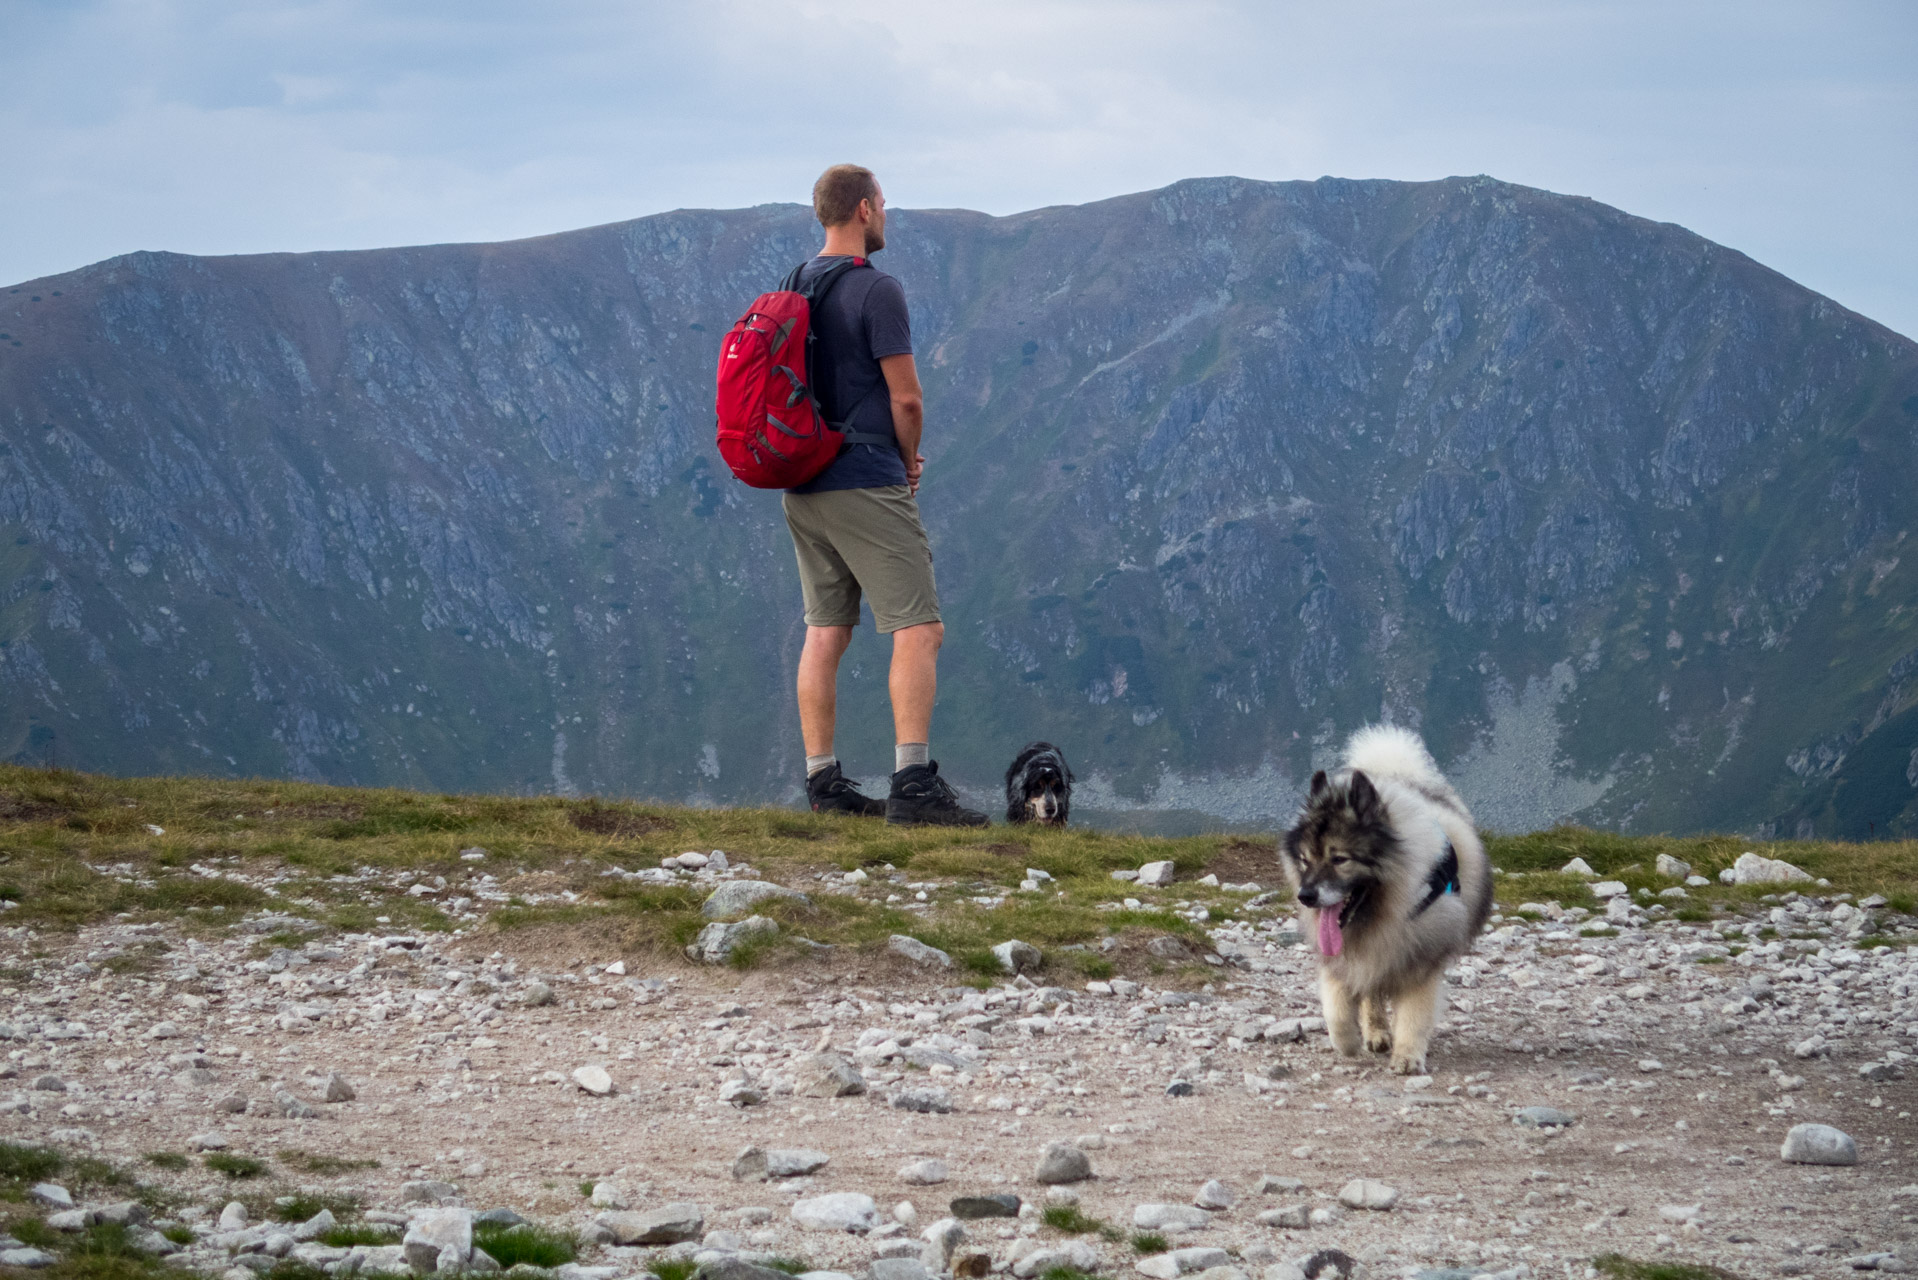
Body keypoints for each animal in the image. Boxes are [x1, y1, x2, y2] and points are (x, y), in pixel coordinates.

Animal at [1281, 725, 1488, 1074]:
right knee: (1371, 996)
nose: (1306, 896)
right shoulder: (1343, 959)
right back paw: (1375, 1032)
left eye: (1339, 859)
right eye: (1305, 860)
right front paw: (1348, 1043)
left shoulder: (1420, 958)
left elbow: (1414, 1014)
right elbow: (1337, 1010)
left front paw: (1407, 1057)